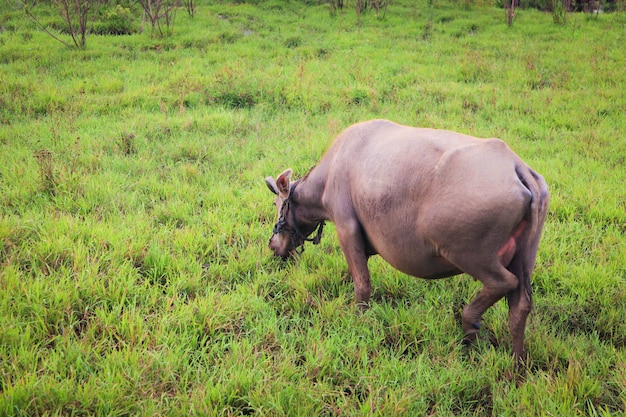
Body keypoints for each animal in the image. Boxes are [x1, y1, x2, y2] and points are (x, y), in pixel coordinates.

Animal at [264, 118, 544, 358]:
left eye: (277, 205)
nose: (272, 245)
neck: (331, 171)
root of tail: (516, 167)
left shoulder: (347, 229)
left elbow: (362, 285)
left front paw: (360, 320)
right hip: (523, 255)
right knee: (520, 305)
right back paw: (516, 359)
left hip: (471, 255)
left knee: (503, 282)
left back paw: (470, 324)